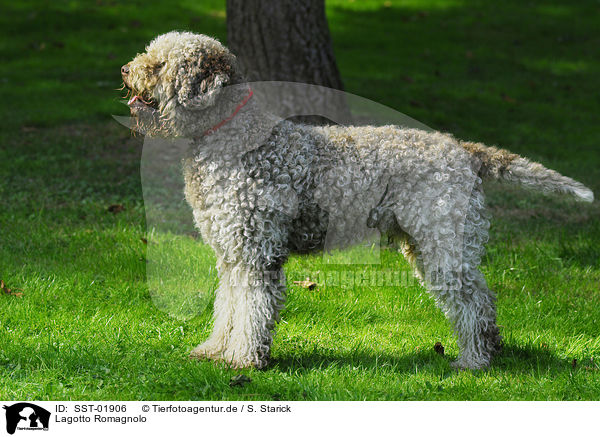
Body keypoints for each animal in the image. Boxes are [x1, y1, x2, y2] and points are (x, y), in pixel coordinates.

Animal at [120, 32, 592, 370]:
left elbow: (253, 310)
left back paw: (473, 361)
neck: (230, 137)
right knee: (484, 298)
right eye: (149, 56)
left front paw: (244, 360)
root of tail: (464, 150)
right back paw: (489, 351)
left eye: (159, 64)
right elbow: (227, 307)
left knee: (473, 301)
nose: (125, 70)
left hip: (445, 244)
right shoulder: (232, 254)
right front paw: (216, 350)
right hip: (428, 245)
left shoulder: (257, 254)